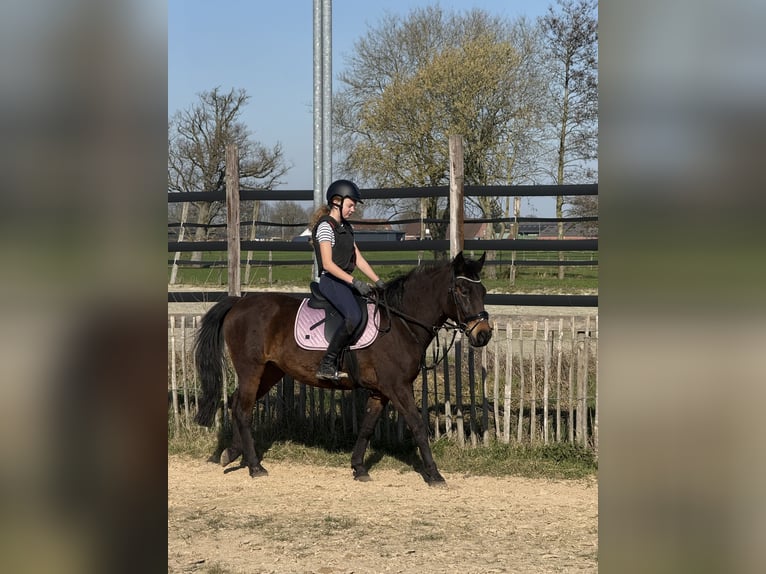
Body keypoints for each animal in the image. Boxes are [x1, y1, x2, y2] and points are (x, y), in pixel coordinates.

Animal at [194, 251, 493, 486]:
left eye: (483, 292)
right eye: (462, 291)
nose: (483, 335)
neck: (399, 323)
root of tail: (240, 302)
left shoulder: (381, 391)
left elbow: (367, 427)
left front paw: (359, 467)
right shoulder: (398, 387)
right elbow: (417, 425)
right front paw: (434, 474)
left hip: (270, 372)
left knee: (237, 404)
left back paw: (232, 454)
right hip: (251, 369)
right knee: (243, 410)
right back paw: (255, 466)